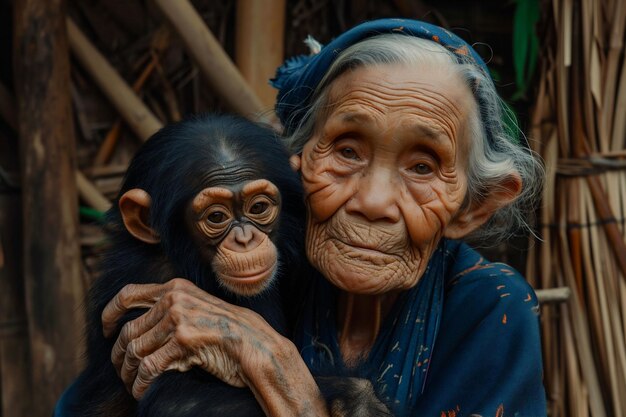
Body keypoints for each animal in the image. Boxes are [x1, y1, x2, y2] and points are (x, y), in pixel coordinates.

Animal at [63, 114, 388, 416]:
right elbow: (178, 400)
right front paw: (358, 398)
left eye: (258, 207)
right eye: (216, 217)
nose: (245, 239)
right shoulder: (147, 283)